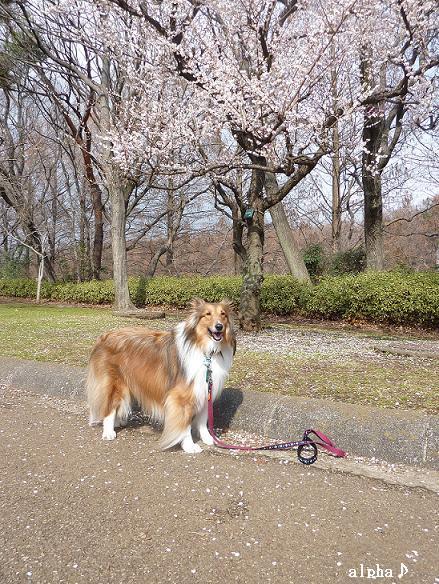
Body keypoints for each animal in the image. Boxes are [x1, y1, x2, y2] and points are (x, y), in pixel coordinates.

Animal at [87, 298, 237, 454]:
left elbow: (202, 420)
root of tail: (105, 336)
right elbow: (184, 424)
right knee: (110, 407)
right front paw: (189, 445)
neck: (205, 351)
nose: (219, 327)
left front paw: (208, 439)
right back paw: (108, 432)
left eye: (223, 314)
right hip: (115, 382)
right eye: (207, 314)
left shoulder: (203, 390)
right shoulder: (181, 398)